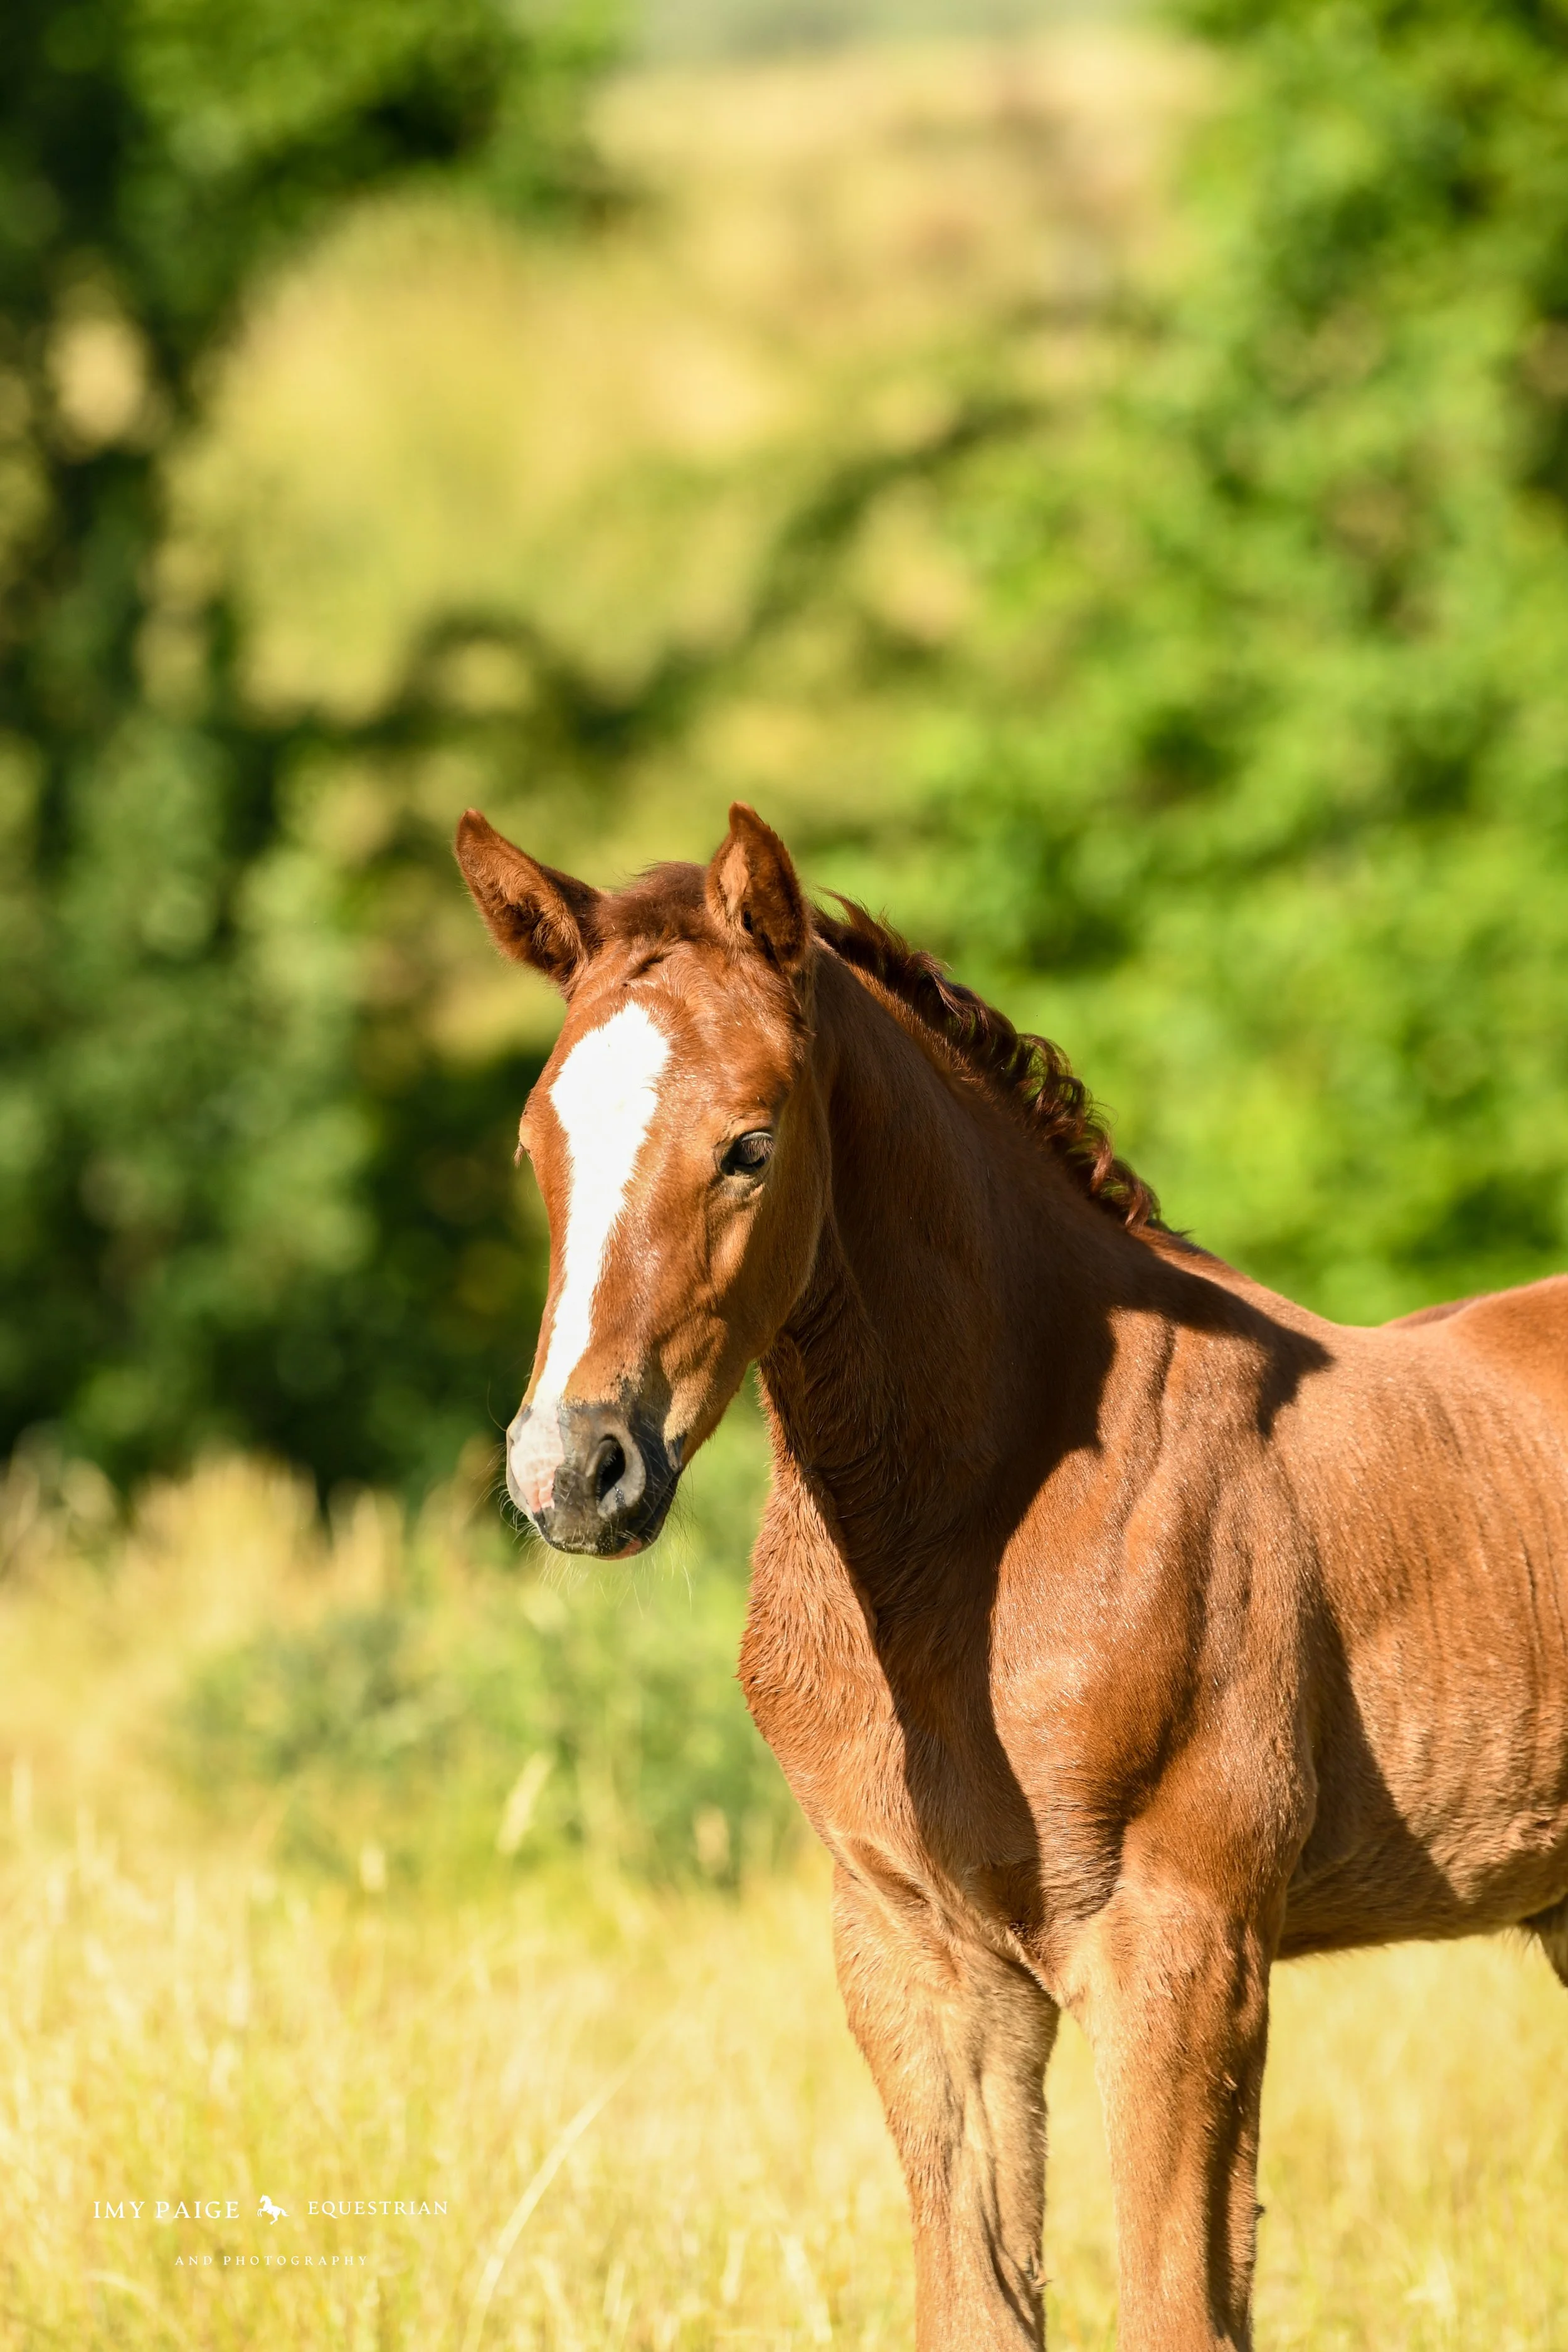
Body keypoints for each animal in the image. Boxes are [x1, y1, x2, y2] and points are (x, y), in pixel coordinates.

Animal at [455, 800, 1568, 2352]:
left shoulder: (1180, 1950)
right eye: (534, 1143)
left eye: (748, 1144)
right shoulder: (921, 1961)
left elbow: (1174, 2313)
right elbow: (975, 2308)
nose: (572, 1471)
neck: (972, 1537)